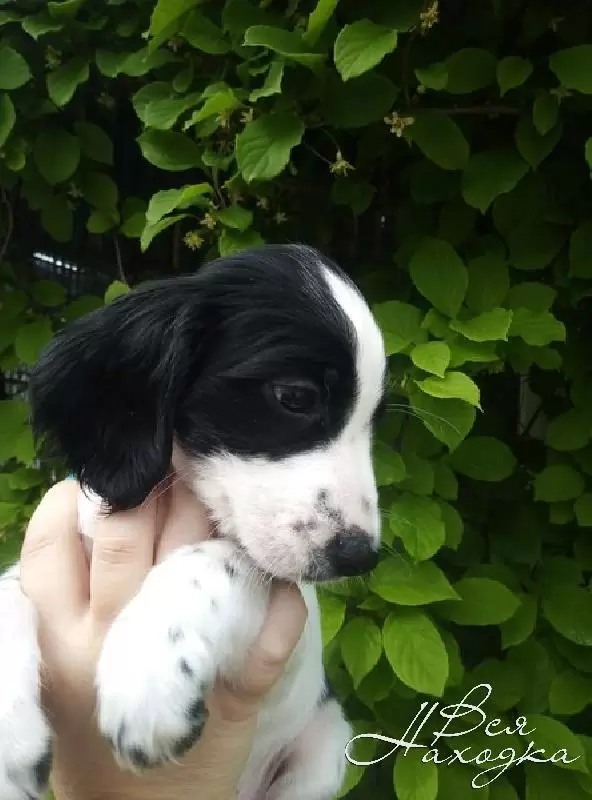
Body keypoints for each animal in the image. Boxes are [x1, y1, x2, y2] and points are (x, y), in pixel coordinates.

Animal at [0, 244, 386, 799]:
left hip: (324, 744)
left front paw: (149, 676)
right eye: (295, 396)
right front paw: (12, 744)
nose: (360, 556)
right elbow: (7, 591)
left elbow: (218, 559)